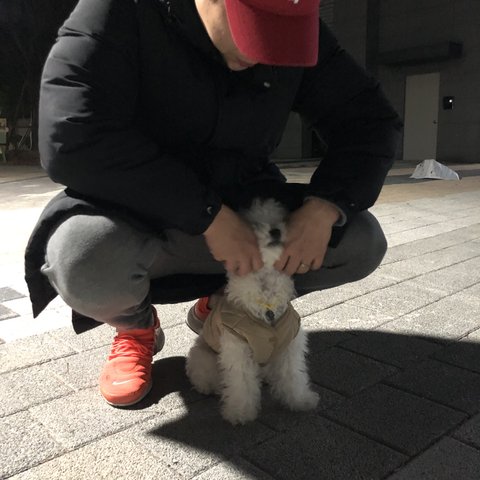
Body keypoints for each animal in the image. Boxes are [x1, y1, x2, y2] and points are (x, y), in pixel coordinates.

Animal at [185, 198, 319, 425]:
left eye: (281, 219)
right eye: (253, 225)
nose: (275, 231)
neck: (267, 304)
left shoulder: (290, 344)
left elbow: (293, 374)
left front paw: (300, 400)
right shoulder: (237, 347)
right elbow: (241, 383)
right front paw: (240, 412)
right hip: (204, 357)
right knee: (208, 378)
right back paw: (212, 387)